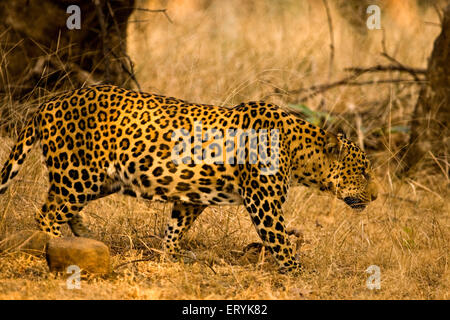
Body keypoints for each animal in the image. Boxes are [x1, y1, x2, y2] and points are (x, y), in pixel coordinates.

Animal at [0, 84, 376, 272]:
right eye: (363, 170)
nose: (375, 197)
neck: (299, 152)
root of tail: (48, 103)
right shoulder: (263, 203)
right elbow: (281, 241)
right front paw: (298, 272)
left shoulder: (191, 198)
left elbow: (175, 229)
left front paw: (169, 258)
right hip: (79, 173)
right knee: (47, 212)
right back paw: (56, 246)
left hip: (98, 179)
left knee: (63, 207)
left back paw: (87, 239)